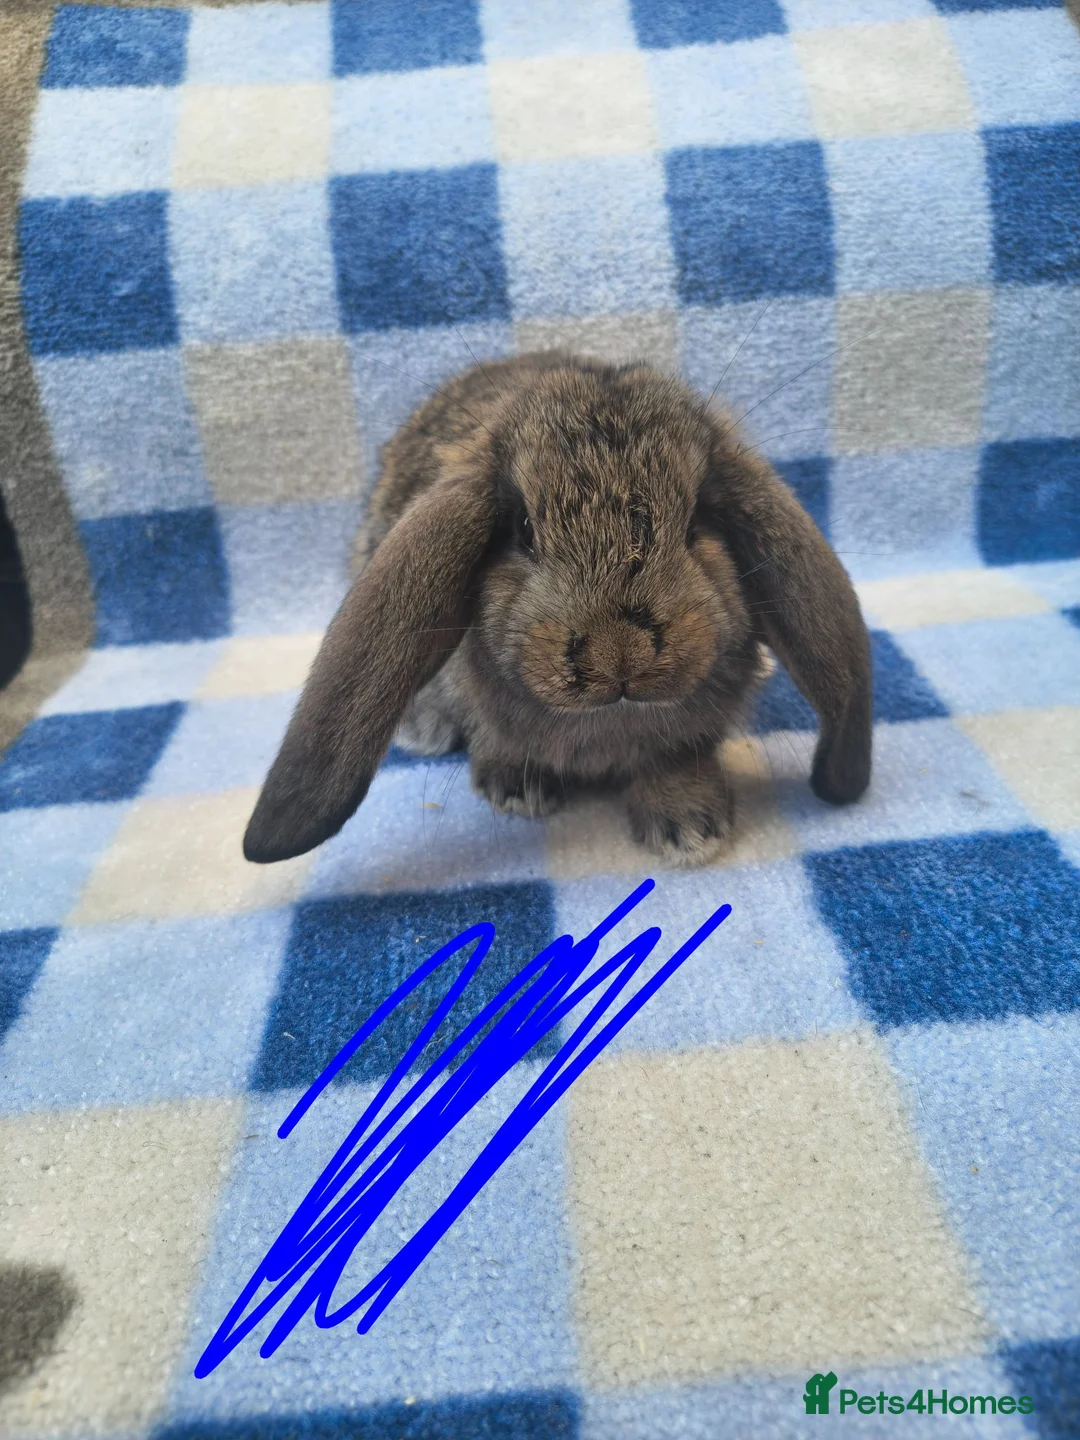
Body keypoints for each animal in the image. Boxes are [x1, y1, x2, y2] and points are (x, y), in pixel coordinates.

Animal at [243, 351, 872, 868]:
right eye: (524, 529)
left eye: (697, 524)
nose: (620, 653)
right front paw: (517, 791)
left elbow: (677, 762)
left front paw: (691, 827)